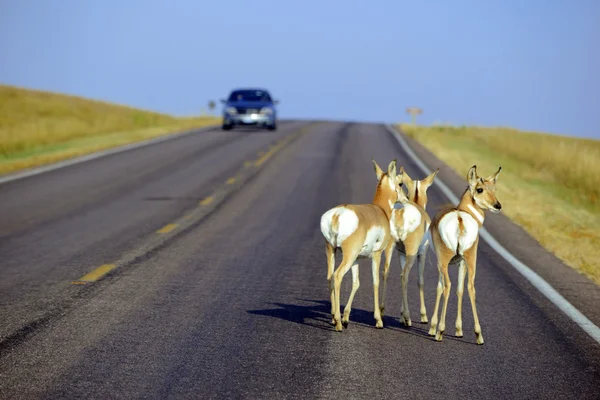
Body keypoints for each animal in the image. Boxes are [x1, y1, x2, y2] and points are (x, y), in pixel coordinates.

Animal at [318, 159, 404, 332]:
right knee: (337, 276)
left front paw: (346, 317)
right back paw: (338, 323)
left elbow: (356, 283)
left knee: (330, 277)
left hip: (332, 251)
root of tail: (337, 214)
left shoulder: (357, 259)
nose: (405, 199)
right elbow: (375, 282)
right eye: (400, 183)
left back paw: (334, 317)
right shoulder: (377, 254)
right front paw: (378, 320)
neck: (380, 210)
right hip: (348, 256)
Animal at [382, 167, 438, 326]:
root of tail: (401, 212)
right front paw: (423, 316)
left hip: (389, 249)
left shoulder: (401, 254)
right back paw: (408, 318)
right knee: (404, 275)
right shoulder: (422, 254)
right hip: (412, 254)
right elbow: (420, 281)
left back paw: (381, 312)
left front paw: (400, 315)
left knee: (386, 272)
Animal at [426, 165, 502, 344]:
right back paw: (478, 334)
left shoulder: (441, 263)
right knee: (470, 288)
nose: (497, 205)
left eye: (494, 189)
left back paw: (440, 331)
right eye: (480, 189)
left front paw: (432, 327)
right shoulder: (462, 263)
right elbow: (460, 290)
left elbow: (439, 288)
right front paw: (459, 330)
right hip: (471, 259)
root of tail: (459, 218)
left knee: (447, 286)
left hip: (444, 262)